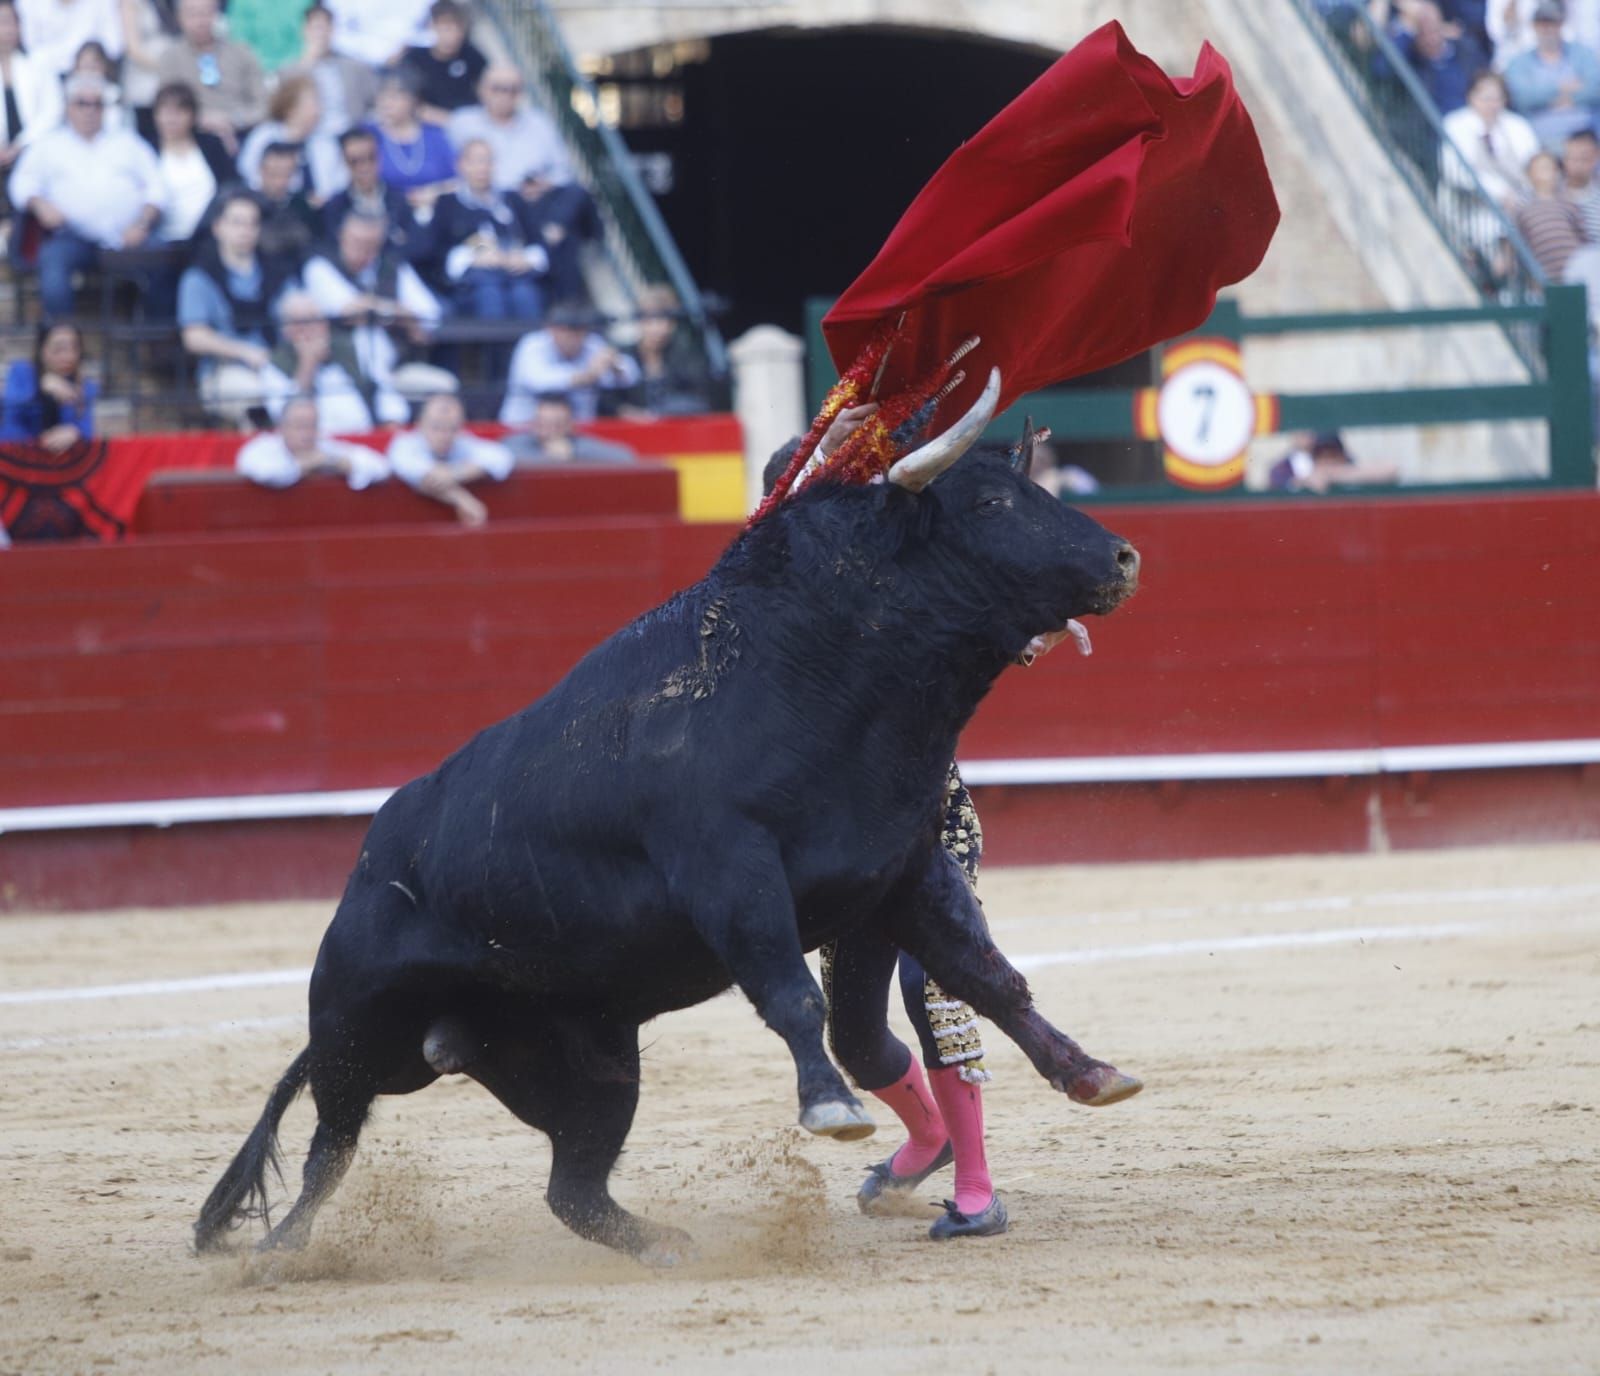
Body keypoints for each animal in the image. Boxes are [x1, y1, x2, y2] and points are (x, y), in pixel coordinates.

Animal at [196, 444, 1139, 1260]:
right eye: (989, 503)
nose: (1125, 557)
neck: (812, 666)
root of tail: (359, 881)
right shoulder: (731, 867)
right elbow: (793, 995)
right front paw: (830, 1108)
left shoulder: (903, 870)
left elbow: (989, 979)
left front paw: (1091, 1073)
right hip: (353, 1029)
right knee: (329, 1149)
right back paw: (279, 1254)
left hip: (595, 1065)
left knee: (573, 1189)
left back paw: (668, 1246)